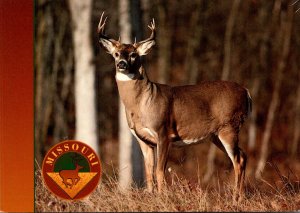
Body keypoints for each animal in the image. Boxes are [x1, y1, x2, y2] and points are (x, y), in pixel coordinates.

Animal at [98, 12, 251, 200]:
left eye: (133, 54)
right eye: (116, 53)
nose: (122, 64)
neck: (141, 105)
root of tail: (246, 91)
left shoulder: (163, 132)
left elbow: (159, 170)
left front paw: (161, 196)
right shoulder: (142, 139)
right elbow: (148, 171)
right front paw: (151, 195)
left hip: (229, 126)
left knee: (238, 160)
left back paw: (236, 199)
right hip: (215, 135)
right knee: (243, 155)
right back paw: (240, 197)